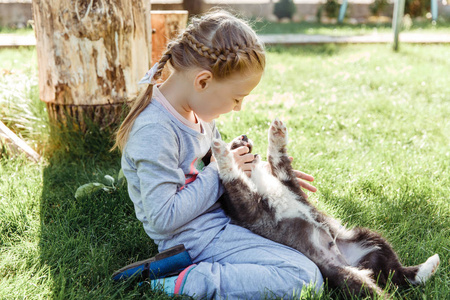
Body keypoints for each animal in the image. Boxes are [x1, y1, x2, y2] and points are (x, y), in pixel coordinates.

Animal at [211, 118, 440, 298]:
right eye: (234, 143)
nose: (243, 135)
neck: (254, 177)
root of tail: (354, 263)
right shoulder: (248, 206)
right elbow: (232, 175)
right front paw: (220, 150)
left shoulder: (289, 184)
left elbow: (277, 159)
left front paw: (277, 132)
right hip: (348, 277)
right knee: (384, 289)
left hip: (371, 238)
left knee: (400, 274)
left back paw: (429, 266)